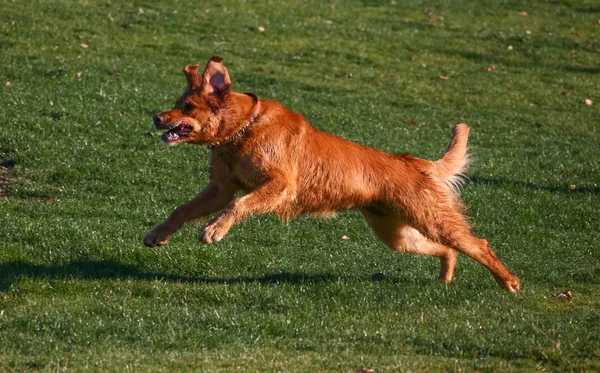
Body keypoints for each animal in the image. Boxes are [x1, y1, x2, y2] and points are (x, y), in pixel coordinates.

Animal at [145, 56, 520, 294]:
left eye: (188, 107)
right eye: (177, 102)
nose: (156, 117)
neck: (242, 132)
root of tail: (413, 162)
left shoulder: (280, 185)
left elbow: (238, 206)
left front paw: (214, 230)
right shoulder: (220, 189)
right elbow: (182, 209)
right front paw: (158, 234)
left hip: (432, 218)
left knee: (479, 245)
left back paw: (508, 282)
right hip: (396, 234)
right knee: (448, 250)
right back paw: (446, 275)